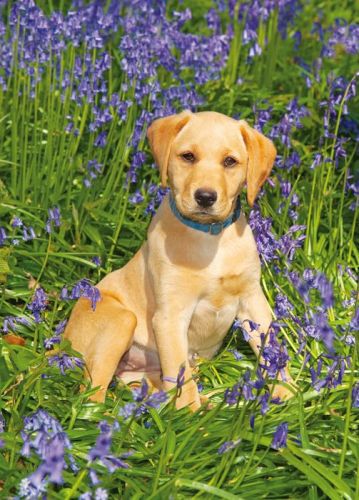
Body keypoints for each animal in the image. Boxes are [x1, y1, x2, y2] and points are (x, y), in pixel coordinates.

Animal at [65, 110, 296, 410]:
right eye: (188, 156)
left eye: (230, 161)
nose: (205, 197)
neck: (209, 237)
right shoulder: (171, 316)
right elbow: (180, 374)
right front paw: (190, 415)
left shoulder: (253, 301)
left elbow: (273, 349)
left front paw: (288, 392)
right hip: (122, 321)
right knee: (91, 391)